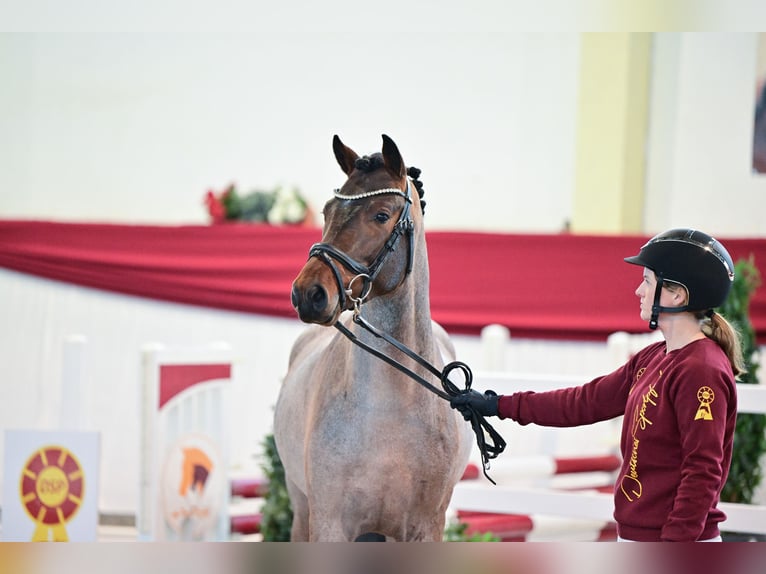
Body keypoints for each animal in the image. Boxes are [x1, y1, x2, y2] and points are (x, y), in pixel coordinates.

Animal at [272, 136, 472, 544]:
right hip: (301, 507)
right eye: (327, 211)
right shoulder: (330, 525)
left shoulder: (425, 528)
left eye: (381, 215)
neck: (389, 407)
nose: (308, 294)